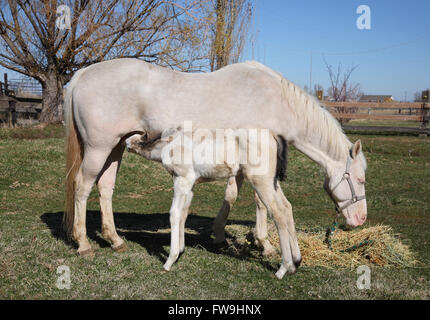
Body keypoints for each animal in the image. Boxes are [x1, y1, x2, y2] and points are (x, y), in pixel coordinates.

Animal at [126, 129, 300, 278]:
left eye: (136, 137)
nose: (126, 142)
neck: (169, 144)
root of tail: (273, 137)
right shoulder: (191, 185)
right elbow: (184, 213)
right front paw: (180, 251)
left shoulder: (182, 179)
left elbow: (174, 213)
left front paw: (169, 261)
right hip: (272, 182)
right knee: (286, 207)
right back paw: (295, 263)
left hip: (260, 181)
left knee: (277, 212)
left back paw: (283, 268)